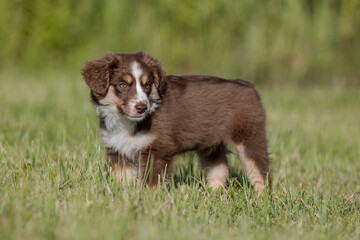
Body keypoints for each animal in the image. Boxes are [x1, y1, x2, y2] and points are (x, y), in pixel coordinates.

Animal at [81, 51, 272, 194]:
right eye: (122, 85)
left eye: (147, 84)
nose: (142, 107)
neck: (126, 121)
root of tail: (249, 86)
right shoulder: (117, 149)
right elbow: (121, 179)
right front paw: (123, 196)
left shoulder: (158, 150)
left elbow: (150, 183)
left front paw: (145, 201)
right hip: (211, 144)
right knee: (220, 168)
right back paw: (213, 194)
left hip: (249, 136)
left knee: (260, 171)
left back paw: (262, 199)